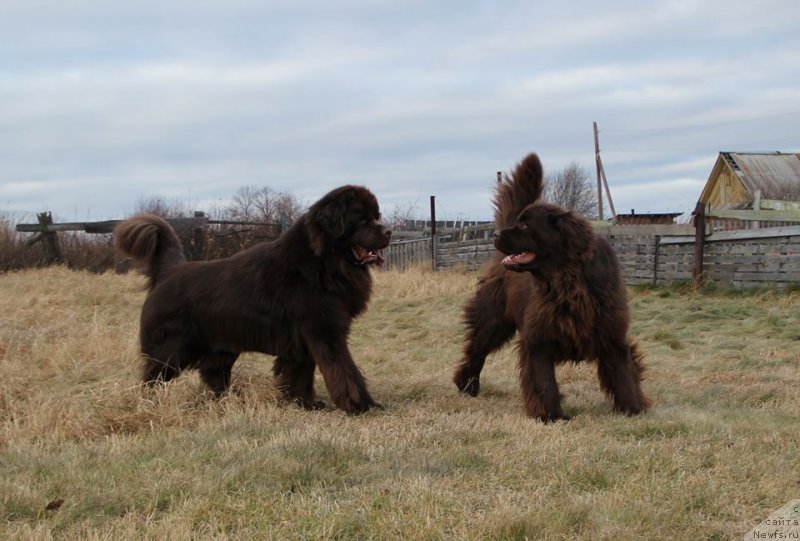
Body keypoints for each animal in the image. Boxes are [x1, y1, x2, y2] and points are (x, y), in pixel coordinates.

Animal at [117, 186, 392, 414]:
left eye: (377, 216)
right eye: (362, 219)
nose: (388, 231)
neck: (321, 262)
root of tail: (169, 271)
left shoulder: (303, 341)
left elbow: (301, 373)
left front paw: (306, 403)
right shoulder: (325, 332)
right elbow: (345, 371)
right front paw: (360, 405)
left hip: (222, 347)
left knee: (212, 373)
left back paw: (225, 401)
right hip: (172, 348)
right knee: (152, 377)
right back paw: (150, 404)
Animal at [456, 152, 648, 422]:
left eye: (524, 226)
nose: (495, 234)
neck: (568, 281)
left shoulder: (612, 333)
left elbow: (624, 376)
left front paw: (633, 410)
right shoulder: (538, 339)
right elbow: (544, 382)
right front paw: (551, 416)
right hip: (493, 319)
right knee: (476, 349)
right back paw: (467, 385)